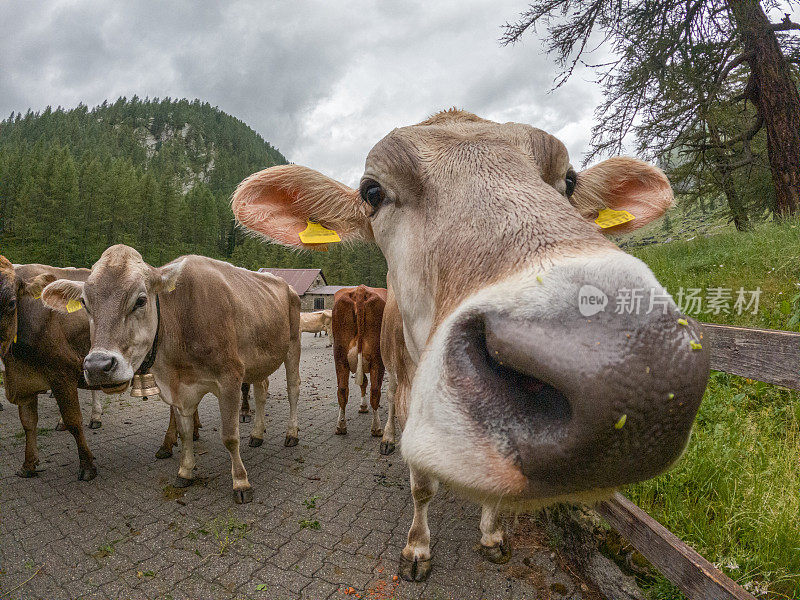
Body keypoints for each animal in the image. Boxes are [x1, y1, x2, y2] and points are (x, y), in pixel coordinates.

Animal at [42, 246, 302, 504]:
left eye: (141, 300)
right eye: (85, 303)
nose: (98, 366)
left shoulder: (230, 377)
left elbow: (229, 436)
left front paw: (240, 482)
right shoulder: (178, 389)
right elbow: (184, 432)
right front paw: (185, 471)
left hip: (292, 345)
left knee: (293, 389)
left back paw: (291, 434)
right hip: (259, 360)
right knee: (262, 391)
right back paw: (257, 434)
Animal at [332, 286, 388, 436]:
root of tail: (360, 290)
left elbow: (363, 382)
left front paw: (362, 406)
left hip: (340, 357)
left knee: (342, 389)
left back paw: (341, 425)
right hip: (378, 360)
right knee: (375, 390)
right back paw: (376, 428)